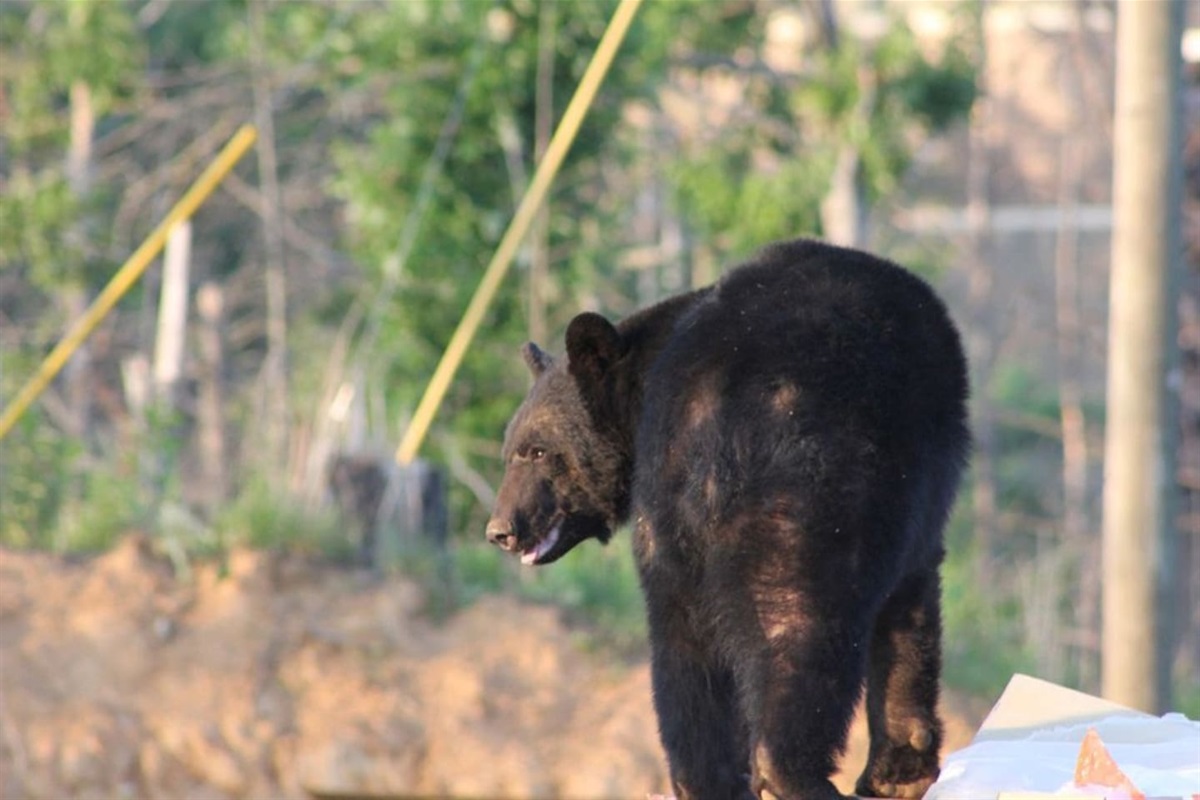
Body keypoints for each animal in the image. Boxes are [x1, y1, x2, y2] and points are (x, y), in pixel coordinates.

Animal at [484, 237, 964, 800]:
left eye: (535, 452)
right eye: (515, 453)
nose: (501, 530)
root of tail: (702, 401)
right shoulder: (915, 485)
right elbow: (912, 595)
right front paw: (901, 771)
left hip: (679, 531)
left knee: (683, 659)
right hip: (805, 496)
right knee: (796, 625)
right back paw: (798, 775)